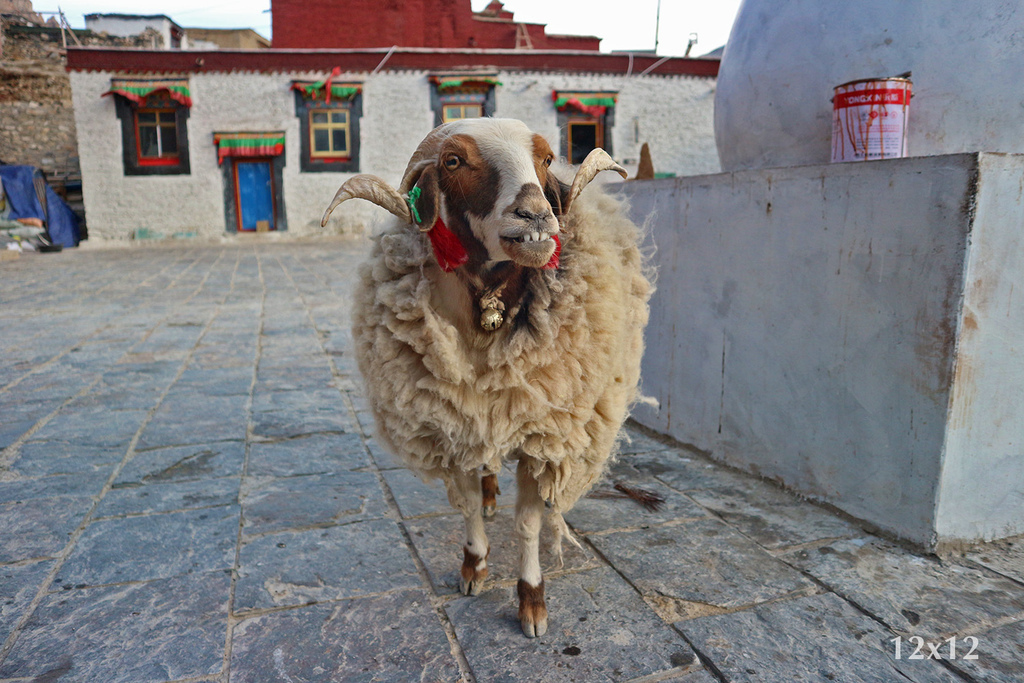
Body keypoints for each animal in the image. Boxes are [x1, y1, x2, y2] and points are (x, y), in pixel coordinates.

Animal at [323, 118, 651, 643]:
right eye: (453, 161)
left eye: (545, 158)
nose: (536, 215)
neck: (487, 313)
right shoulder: (449, 425)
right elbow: (469, 508)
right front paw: (474, 568)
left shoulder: (542, 436)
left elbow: (528, 525)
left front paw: (532, 601)